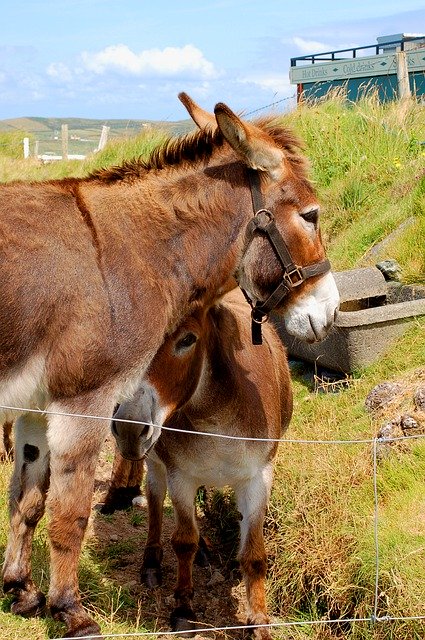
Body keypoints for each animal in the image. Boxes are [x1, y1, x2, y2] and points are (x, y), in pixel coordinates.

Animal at [111, 290, 294, 640]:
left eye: (188, 340)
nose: (128, 427)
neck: (213, 415)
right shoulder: (180, 475)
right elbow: (183, 541)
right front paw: (183, 610)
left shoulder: (258, 476)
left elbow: (255, 553)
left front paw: (259, 620)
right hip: (154, 459)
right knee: (155, 498)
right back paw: (152, 563)